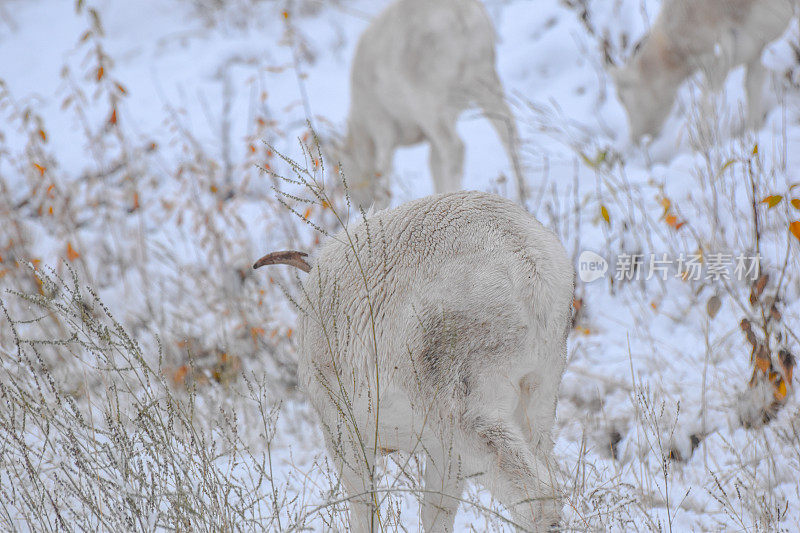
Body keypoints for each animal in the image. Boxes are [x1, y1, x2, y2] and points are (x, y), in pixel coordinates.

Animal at [253, 192, 572, 532]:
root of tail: (528, 266)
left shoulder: (343, 430)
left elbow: (364, 506)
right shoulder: (442, 454)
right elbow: (437, 514)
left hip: (464, 411)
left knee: (537, 499)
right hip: (537, 399)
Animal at [328, 0, 528, 212]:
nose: (361, 205)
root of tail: (459, 15)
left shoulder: (382, 129)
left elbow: (384, 173)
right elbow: (435, 166)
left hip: (429, 105)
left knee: (455, 148)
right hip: (485, 83)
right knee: (508, 130)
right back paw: (522, 195)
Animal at [612, 0, 792, 140]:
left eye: (622, 96)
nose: (637, 138)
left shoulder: (718, 57)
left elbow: (707, 104)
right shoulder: (754, 46)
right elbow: (752, 85)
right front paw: (753, 130)